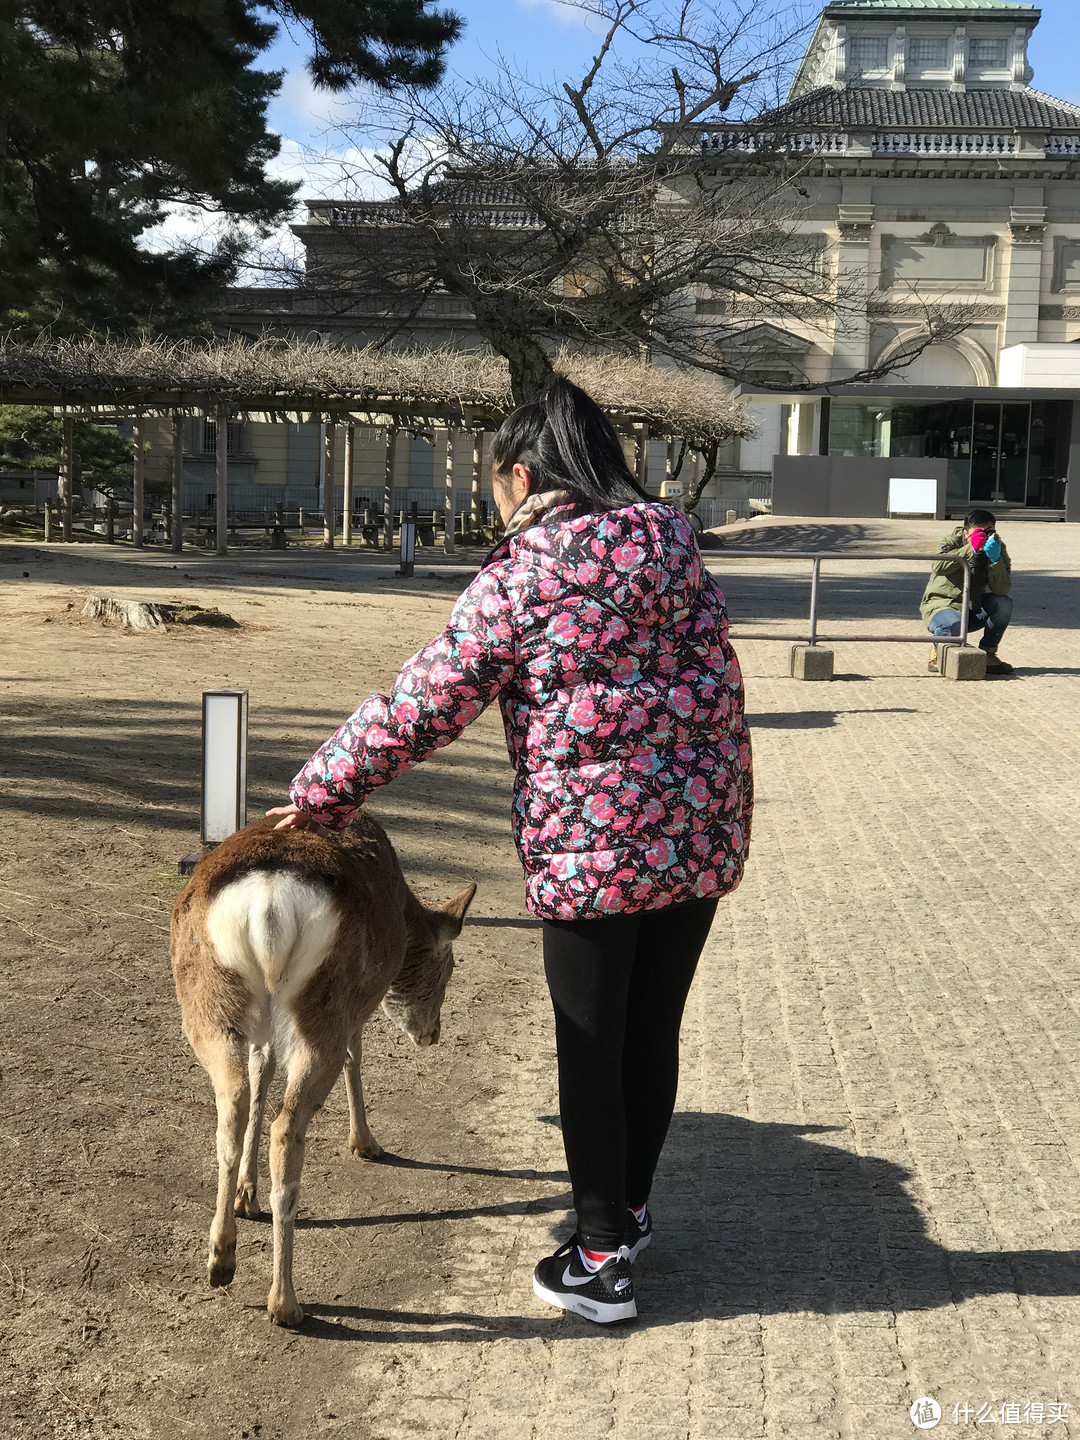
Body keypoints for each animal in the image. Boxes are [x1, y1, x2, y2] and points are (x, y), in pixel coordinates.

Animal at [169, 812, 472, 1324]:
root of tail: (269, 904)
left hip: (209, 1001)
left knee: (233, 1104)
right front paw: (366, 1142)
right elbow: (355, 1059)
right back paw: (285, 1301)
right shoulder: (357, 1009)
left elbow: (261, 1074)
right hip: (324, 1004)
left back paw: (222, 1258)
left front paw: (246, 1195)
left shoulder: (265, 1029)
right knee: (287, 1127)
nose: (433, 1034)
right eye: (448, 968)